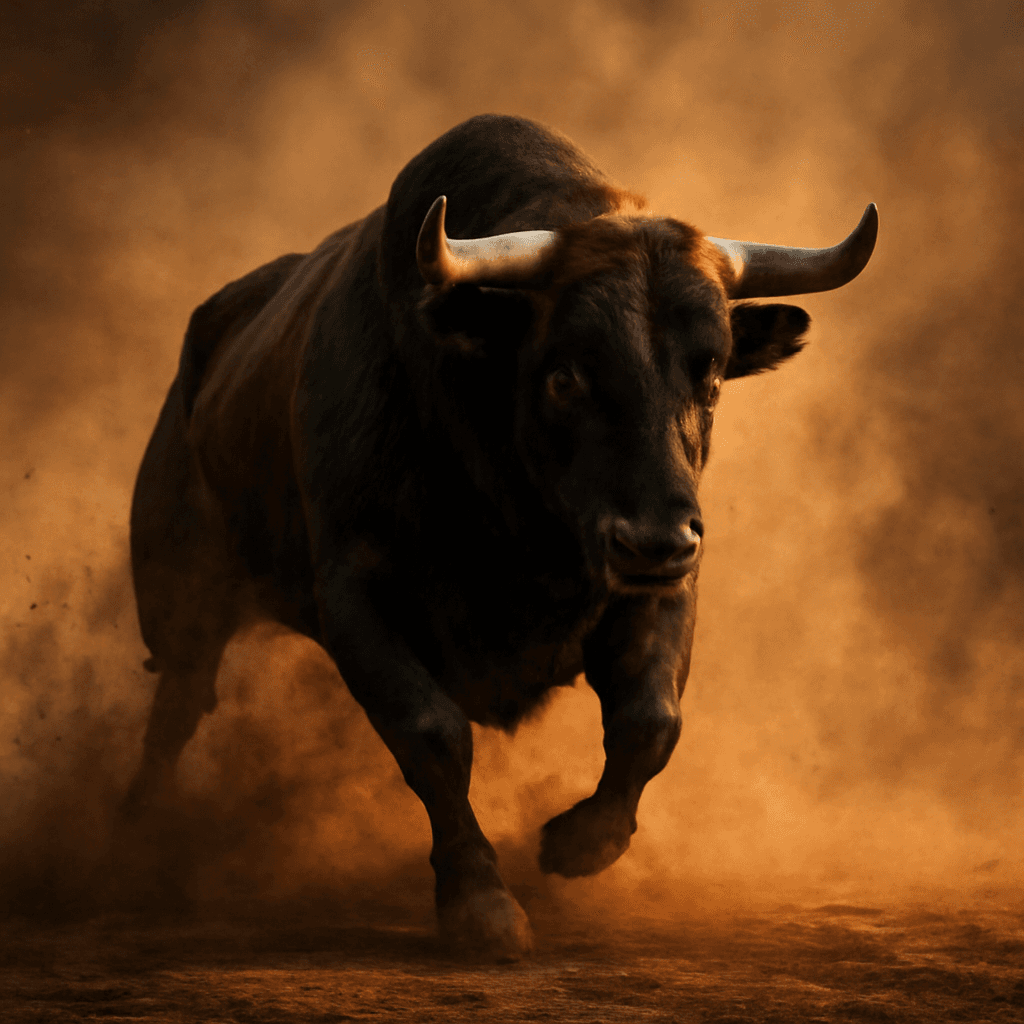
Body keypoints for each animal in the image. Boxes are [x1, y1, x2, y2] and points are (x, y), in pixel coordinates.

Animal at [122, 114, 877, 959]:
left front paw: (576, 844)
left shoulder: (659, 586)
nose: (654, 540)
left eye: (708, 372)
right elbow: (433, 735)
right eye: (565, 374)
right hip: (179, 600)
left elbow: (652, 718)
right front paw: (479, 901)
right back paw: (139, 844)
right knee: (176, 711)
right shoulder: (355, 594)